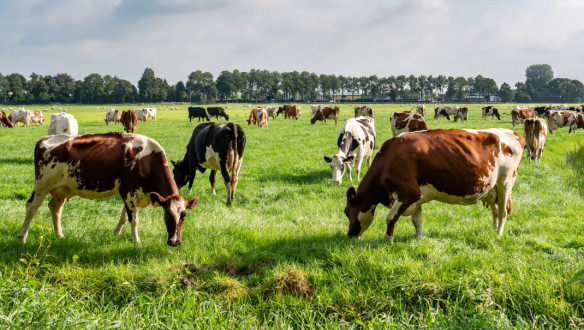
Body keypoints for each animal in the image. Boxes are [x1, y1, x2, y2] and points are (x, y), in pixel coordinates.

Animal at [18, 132, 198, 245]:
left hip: (61, 189)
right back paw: (22, 237)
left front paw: (115, 234)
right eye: (167, 215)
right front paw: (137, 241)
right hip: (42, 184)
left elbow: (124, 217)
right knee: (31, 207)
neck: (147, 160)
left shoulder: (131, 194)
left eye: (184, 216)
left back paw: (60, 235)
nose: (175, 242)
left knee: (55, 208)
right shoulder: (128, 191)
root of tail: (45, 138)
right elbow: (134, 219)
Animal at [342, 127, 524, 241]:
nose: (349, 235)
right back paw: (494, 230)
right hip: (492, 188)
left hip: (505, 183)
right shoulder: (416, 197)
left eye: (346, 211)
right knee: (495, 210)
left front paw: (388, 239)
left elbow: (390, 218)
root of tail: (513, 133)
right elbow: (417, 220)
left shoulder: (408, 193)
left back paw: (498, 234)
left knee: (502, 212)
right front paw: (419, 238)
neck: (389, 159)